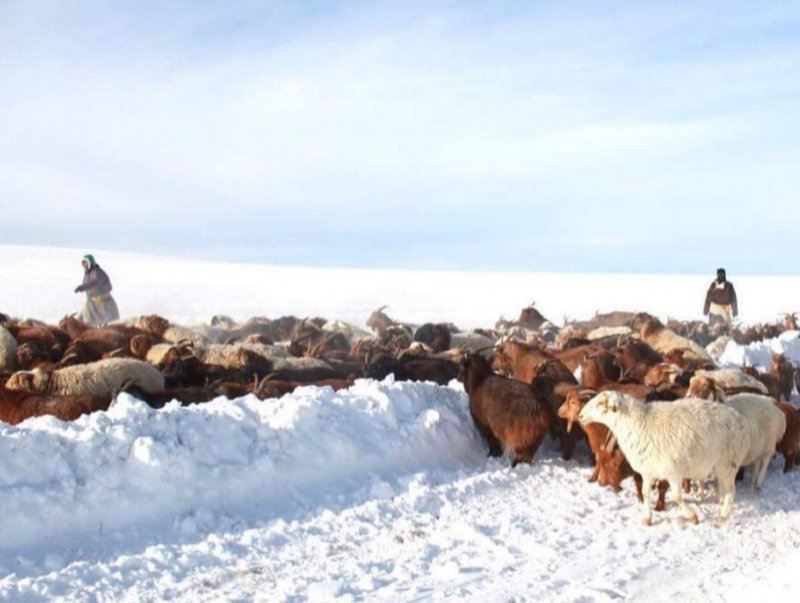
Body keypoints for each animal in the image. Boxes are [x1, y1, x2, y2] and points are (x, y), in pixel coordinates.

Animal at [580, 394, 748, 528]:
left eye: (600, 403)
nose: (581, 415)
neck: (637, 424)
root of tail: (739, 419)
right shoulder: (648, 471)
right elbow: (645, 492)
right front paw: (647, 518)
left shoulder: (674, 472)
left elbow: (677, 497)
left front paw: (692, 517)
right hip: (721, 467)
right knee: (724, 490)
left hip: (728, 464)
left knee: (731, 492)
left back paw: (723, 516)